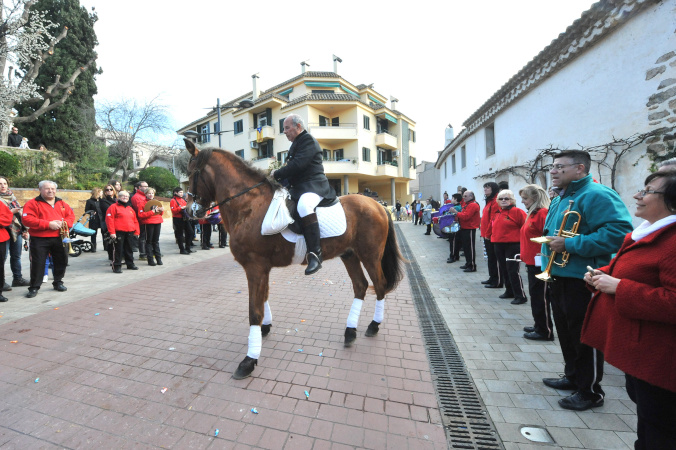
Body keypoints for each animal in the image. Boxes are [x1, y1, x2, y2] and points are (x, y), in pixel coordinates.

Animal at [185, 139, 404, 378]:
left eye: (191, 173)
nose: (190, 212)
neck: (249, 205)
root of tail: (378, 205)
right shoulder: (261, 268)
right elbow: (263, 298)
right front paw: (265, 329)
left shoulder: (254, 266)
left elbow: (254, 311)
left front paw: (249, 360)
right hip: (349, 255)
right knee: (361, 286)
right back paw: (350, 332)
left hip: (370, 256)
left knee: (379, 285)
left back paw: (373, 326)